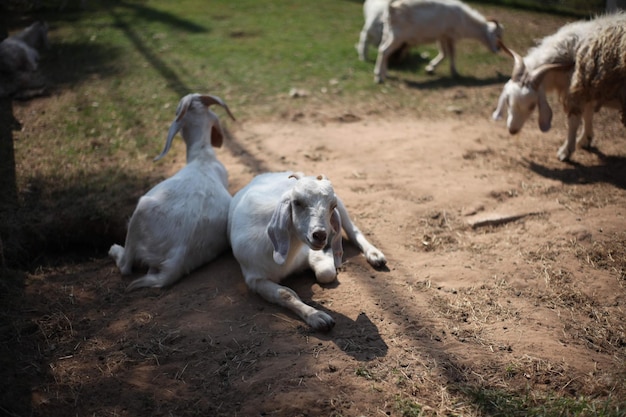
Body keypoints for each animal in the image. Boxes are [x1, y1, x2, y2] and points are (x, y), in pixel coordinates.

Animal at [227, 171, 388, 330]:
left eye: (332, 205)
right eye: (297, 202)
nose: (320, 235)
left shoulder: (309, 252)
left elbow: (325, 273)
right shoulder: (254, 278)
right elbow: (285, 293)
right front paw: (317, 317)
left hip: (343, 209)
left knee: (352, 229)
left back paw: (375, 255)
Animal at [370, 0, 502, 83]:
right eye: (497, 35)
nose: (499, 49)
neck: (464, 19)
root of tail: (391, 8)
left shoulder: (442, 36)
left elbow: (444, 53)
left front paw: (430, 68)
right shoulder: (450, 36)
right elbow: (451, 54)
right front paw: (455, 72)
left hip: (387, 33)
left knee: (383, 50)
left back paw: (386, 74)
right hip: (397, 37)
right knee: (384, 51)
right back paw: (378, 77)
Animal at [492, 13, 624, 161]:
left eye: (532, 106)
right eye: (508, 101)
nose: (512, 130)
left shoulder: (576, 92)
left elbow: (573, 122)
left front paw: (566, 151)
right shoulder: (586, 88)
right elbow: (588, 114)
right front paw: (585, 140)